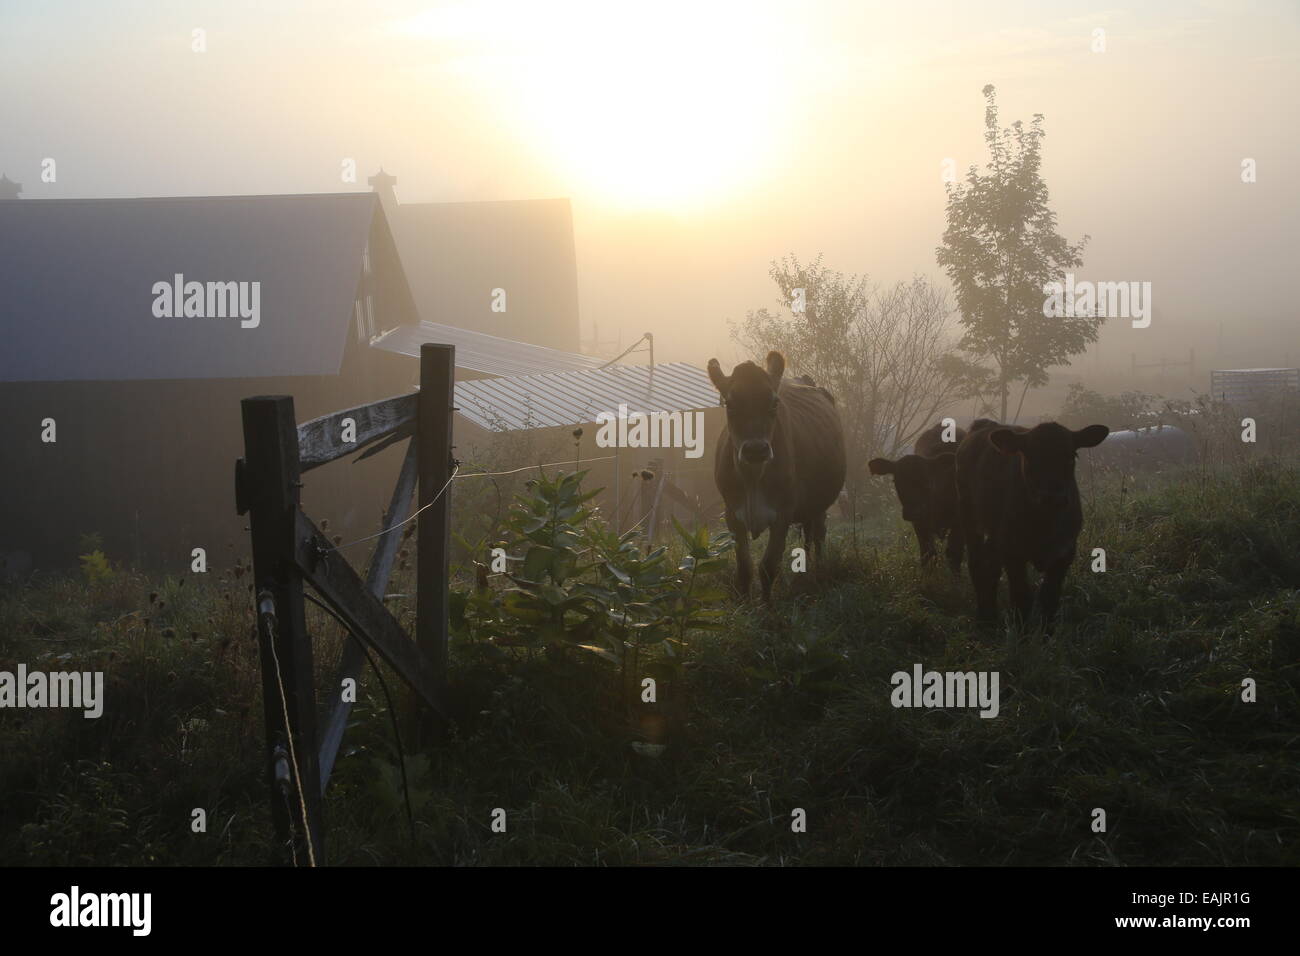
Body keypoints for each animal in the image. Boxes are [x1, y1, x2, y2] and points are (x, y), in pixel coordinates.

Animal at [707, 351, 847, 606]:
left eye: (774, 403)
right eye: (730, 404)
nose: (756, 449)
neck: (753, 478)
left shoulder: (782, 514)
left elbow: (768, 566)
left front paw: (767, 606)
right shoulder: (732, 515)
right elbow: (744, 567)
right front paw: (745, 606)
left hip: (820, 503)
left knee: (818, 536)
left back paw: (817, 572)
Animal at [873, 421, 967, 572]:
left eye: (927, 479)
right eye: (896, 481)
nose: (913, 511)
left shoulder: (959, 522)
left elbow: (954, 554)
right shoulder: (919, 524)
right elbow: (927, 553)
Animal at [956, 421, 1107, 632]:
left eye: (1071, 456)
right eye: (1029, 456)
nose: (1053, 497)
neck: (1044, 525)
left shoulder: (1065, 553)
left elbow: (1050, 598)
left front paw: (1047, 634)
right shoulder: (1013, 553)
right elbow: (1022, 597)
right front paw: (1022, 634)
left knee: (991, 566)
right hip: (969, 516)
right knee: (977, 564)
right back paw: (986, 619)